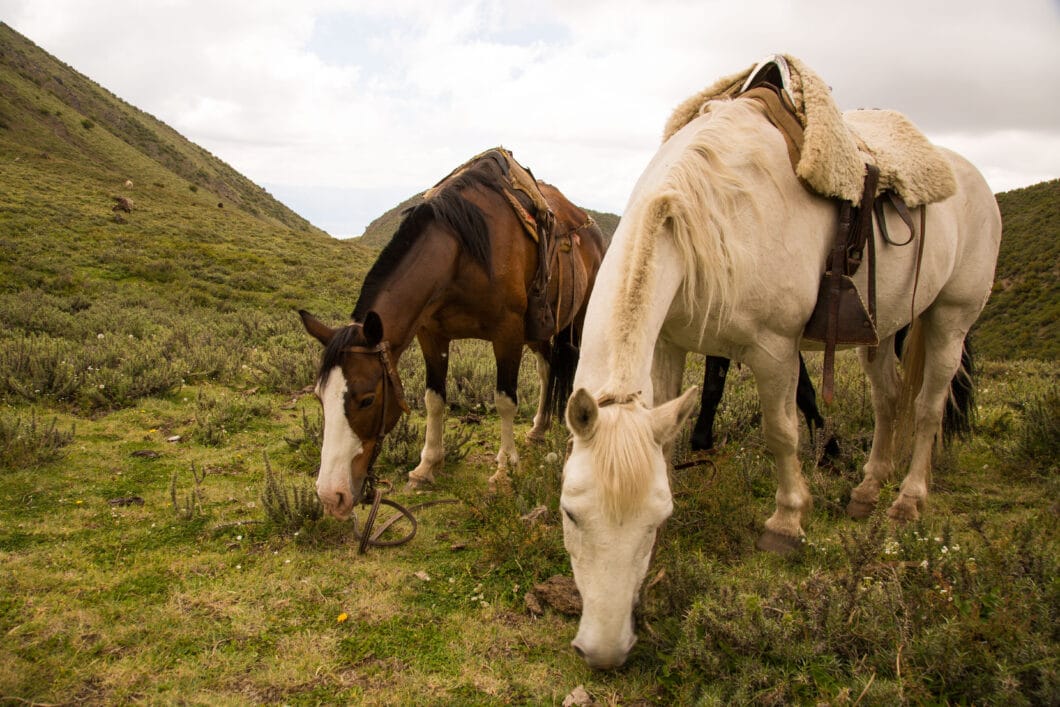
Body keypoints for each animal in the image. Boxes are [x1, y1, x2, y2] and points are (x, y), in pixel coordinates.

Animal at [298, 149, 606, 519]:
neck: (462, 251)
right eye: (319, 397)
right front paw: (427, 466)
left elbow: (504, 401)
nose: (332, 496)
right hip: (539, 330)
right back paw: (537, 430)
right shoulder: (432, 334)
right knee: (547, 369)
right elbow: (434, 399)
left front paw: (504, 470)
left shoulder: (507, 333)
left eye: (367, 399)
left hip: (578, 319)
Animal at [563, 98, 1000, 669]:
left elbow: (782, 434)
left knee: (928, 408)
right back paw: (867, 489)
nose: (604, 651)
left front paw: (787, 523)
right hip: (880, 332)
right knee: (887, 401)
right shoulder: (669, 347)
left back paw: (908, 500)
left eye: (654, 521)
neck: (710, 212)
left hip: (952, 317)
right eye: (570, 514)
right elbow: (671, 441)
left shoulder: (774, 350)